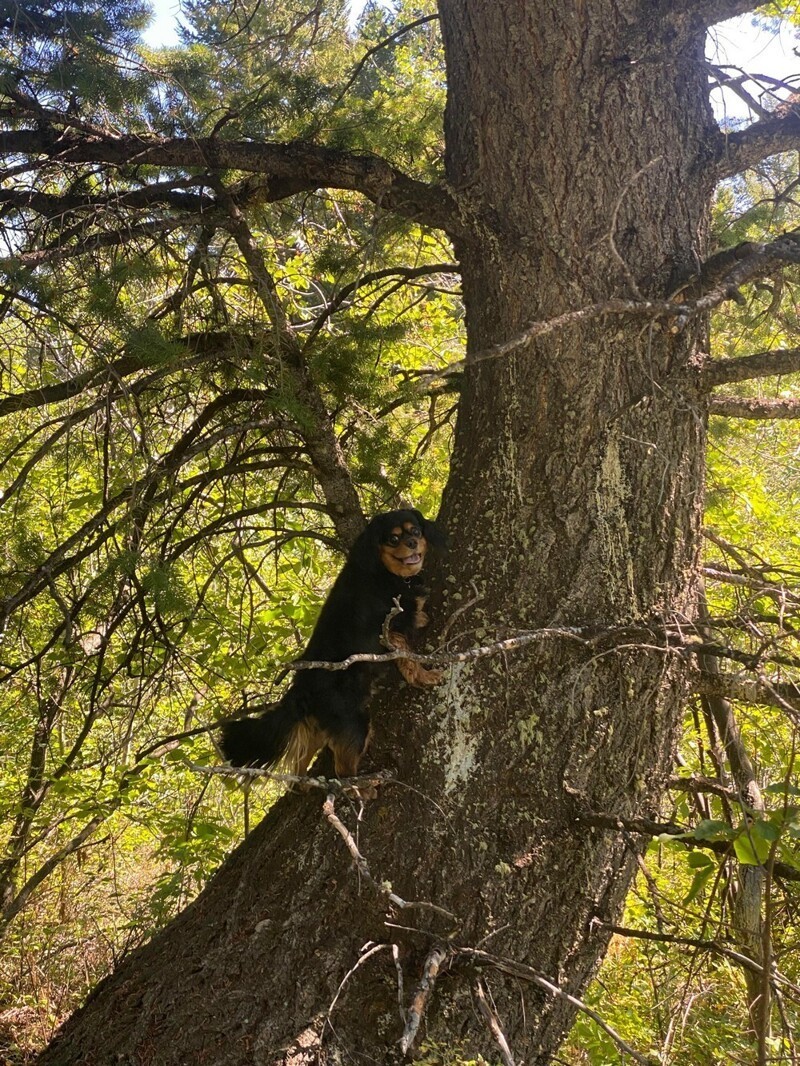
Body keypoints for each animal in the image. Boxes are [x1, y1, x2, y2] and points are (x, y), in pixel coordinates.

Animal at [219, 509, 448, 784]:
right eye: (393, 539)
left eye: (415, 531)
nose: (412, 543)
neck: (383, 572)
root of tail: (301, 689)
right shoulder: (390, 632)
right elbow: (409, 659)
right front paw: (425, 676)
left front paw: (421, 617)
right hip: (354, 722)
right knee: (343, 771)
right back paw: (363, 786)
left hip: (318, 729)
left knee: (301, 763)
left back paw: (305, 785)